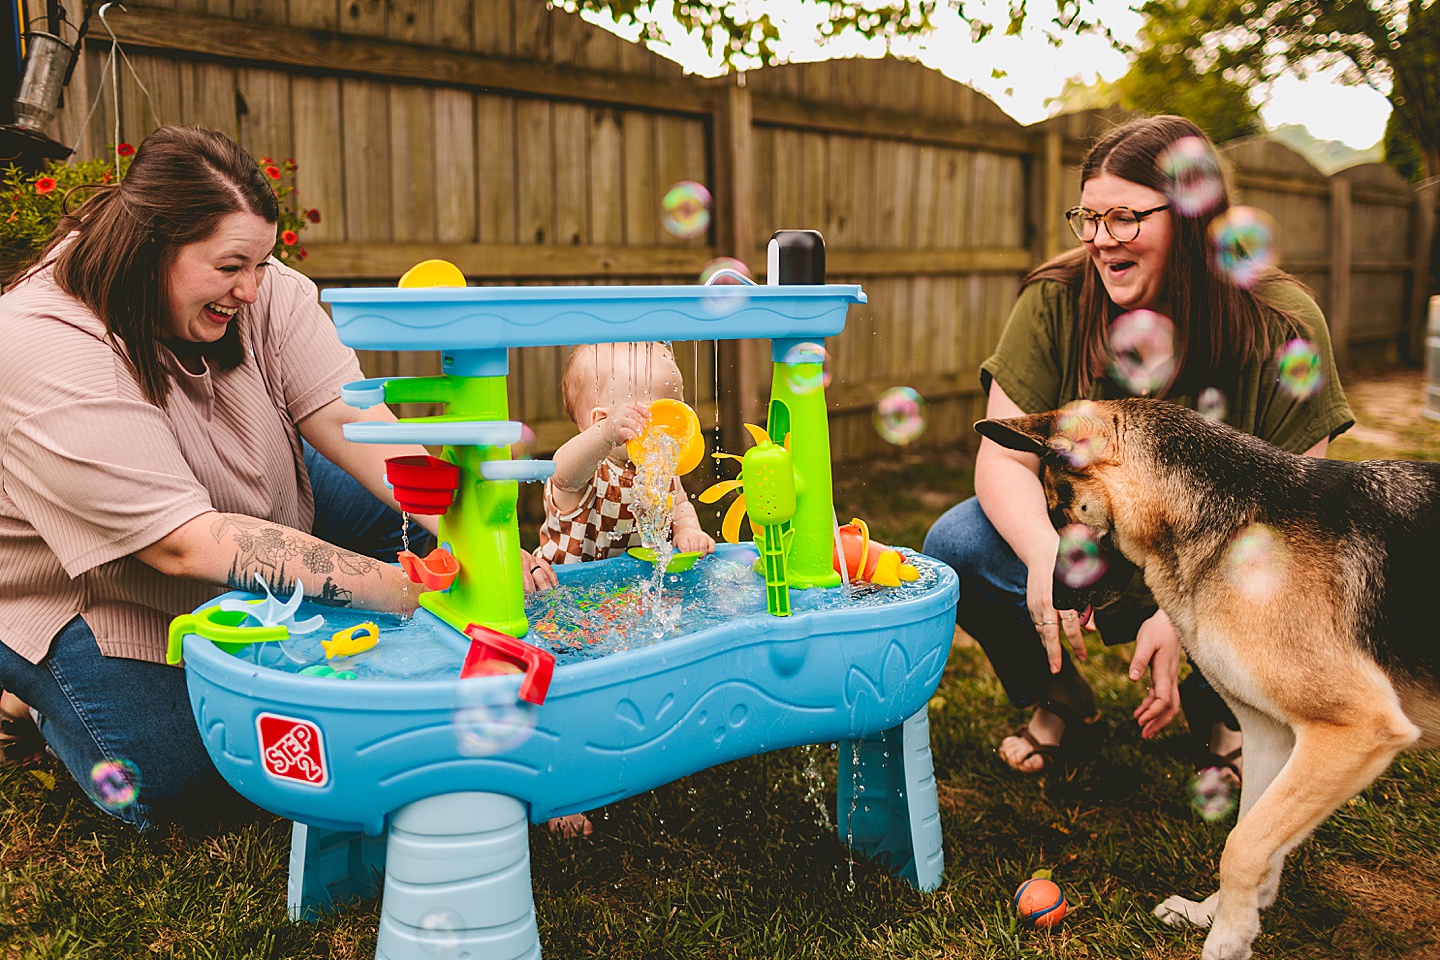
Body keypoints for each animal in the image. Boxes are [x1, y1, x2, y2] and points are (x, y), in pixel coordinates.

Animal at [973, 400, 1434, 960]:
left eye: (1061, 511)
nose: (1052, 600)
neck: (1234, 524)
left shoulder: (1355, 731)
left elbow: (1244, 844)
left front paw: (1226, 941)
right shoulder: (1271, 735)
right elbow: (1252, 834)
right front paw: (1219, 914)